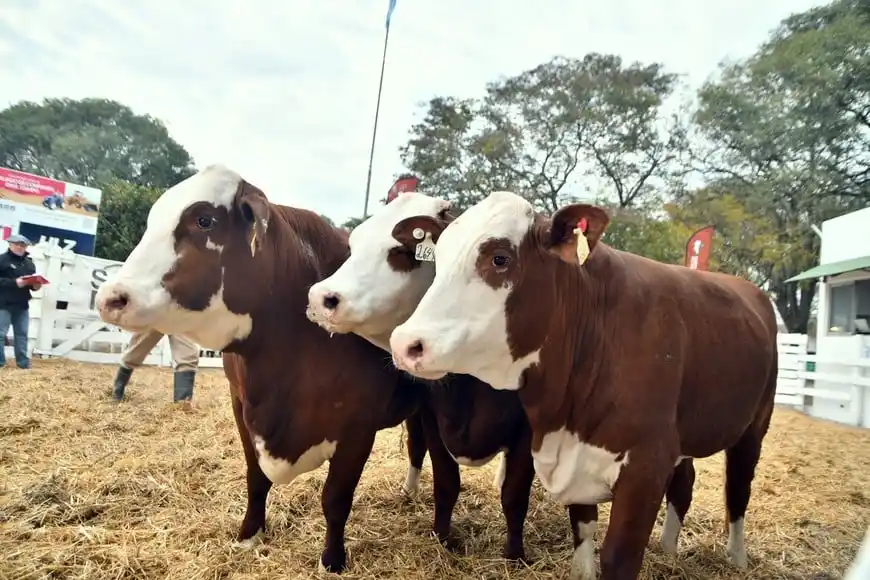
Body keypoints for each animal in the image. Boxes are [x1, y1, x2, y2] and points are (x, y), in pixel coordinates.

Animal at [93, 164, 455, 574]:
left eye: (204, 220)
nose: (111, 297)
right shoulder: (241, 405)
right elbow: (255, 477)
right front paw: (249, 534)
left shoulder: (358, 427)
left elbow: (336, 498)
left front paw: (331, 560)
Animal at [305, 191, 699, 578]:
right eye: (353, 244)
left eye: (399, 252)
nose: (323, 298)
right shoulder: (434, 418)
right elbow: (446, 482)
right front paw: (443, 537)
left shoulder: (528, 432)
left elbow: (514, 495)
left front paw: (514, 554)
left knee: (683, 478)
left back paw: (669, 548)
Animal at [387, 190, 779, 580]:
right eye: (438, 258)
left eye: (500, 258)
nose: (405, 343)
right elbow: (583, 531)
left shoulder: (646, 466)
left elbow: (617, 557)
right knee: (685, 483)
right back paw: (668, 548)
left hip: (754, 428)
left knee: (738, 490)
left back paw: (737, 558)